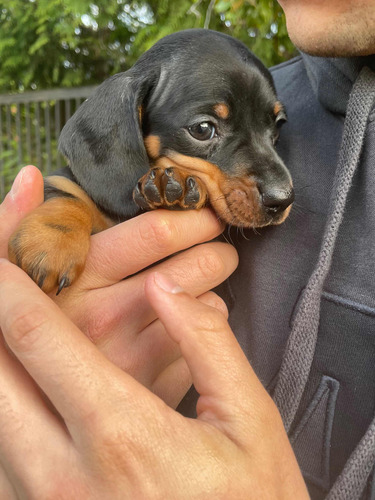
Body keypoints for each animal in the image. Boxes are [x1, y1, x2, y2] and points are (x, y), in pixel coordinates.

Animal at [6, 29, 294, 294]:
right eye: (202, 129)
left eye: (278, 126)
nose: (282, 199)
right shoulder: (63, 180)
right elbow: (66, 193)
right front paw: (52, 240)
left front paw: (175, 185)